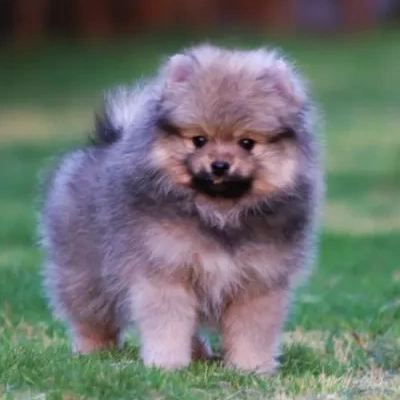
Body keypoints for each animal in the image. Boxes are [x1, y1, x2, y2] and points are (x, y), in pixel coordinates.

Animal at [39, 44, 324, 376]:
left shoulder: (257, 282)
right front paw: (167, 365)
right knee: (90, 315)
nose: (219, 165)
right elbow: (168, 324)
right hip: (85, 270)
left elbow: (251, 331)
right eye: (199, 140)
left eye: (247, 143)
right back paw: (93, 351)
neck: (219, 213)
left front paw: (250, 368)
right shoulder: (165, 272)